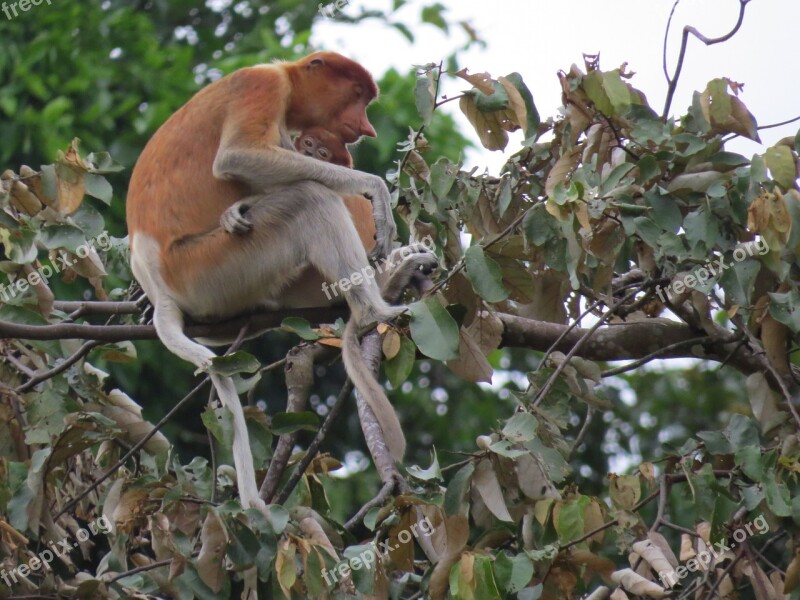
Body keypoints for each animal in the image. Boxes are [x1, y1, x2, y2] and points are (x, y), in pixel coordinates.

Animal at [127, 51, 434, 512]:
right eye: (357, 95)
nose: (366, 127)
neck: (285, 77)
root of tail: (158, 284)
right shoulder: (263, 87)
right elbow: (237, 157)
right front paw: (375, 190)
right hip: (211, 266)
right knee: (310, 199)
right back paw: (375, 305)